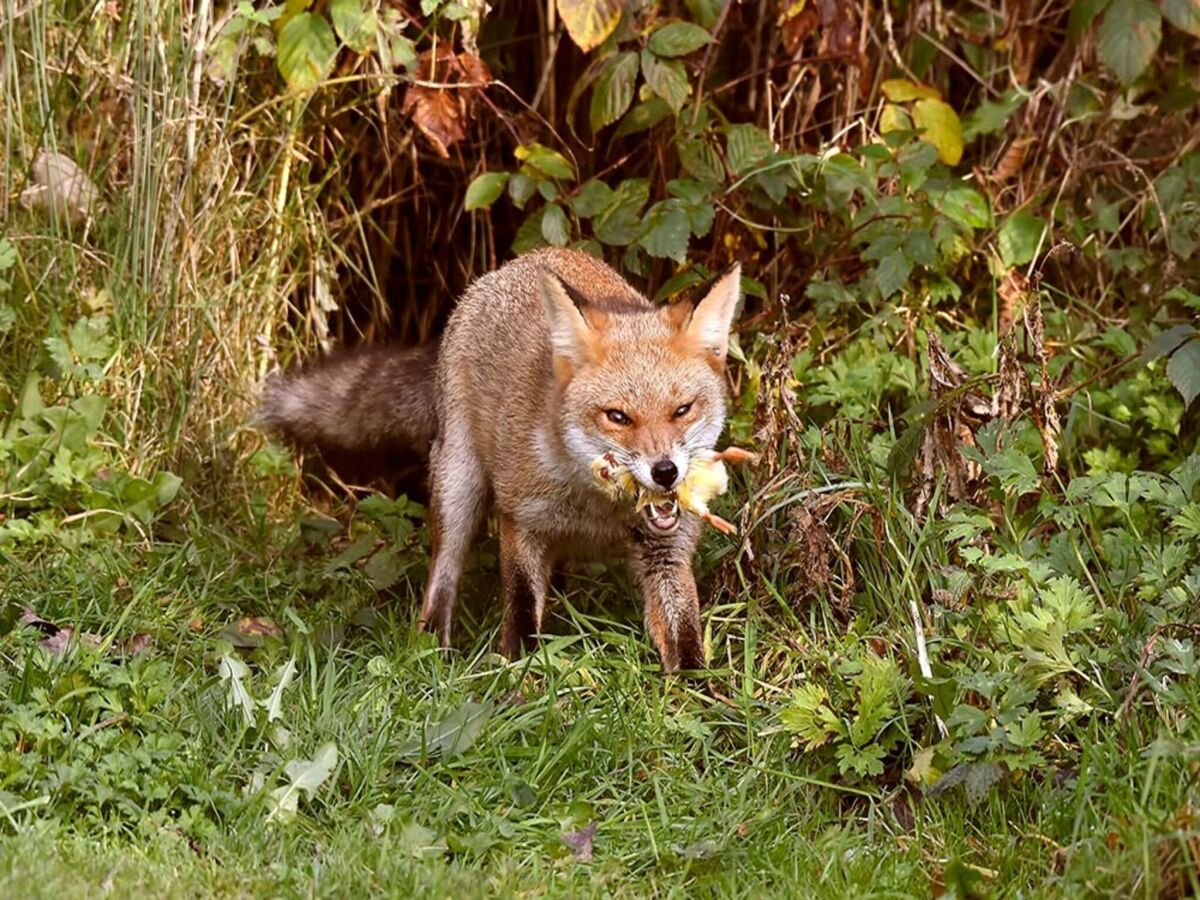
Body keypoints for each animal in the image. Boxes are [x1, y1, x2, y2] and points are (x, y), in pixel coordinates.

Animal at [262, 250, 739, 672]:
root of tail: (527, 258)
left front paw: (700, 701)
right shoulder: (520, 519)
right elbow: (522, 607)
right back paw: (433, 647)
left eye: (682, 410)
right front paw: (520, 675)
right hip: (457, 485)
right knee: (442, 577)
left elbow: (685, 639)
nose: (666, 472)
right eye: (618, 417)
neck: (597, 508)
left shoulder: (666, 550)